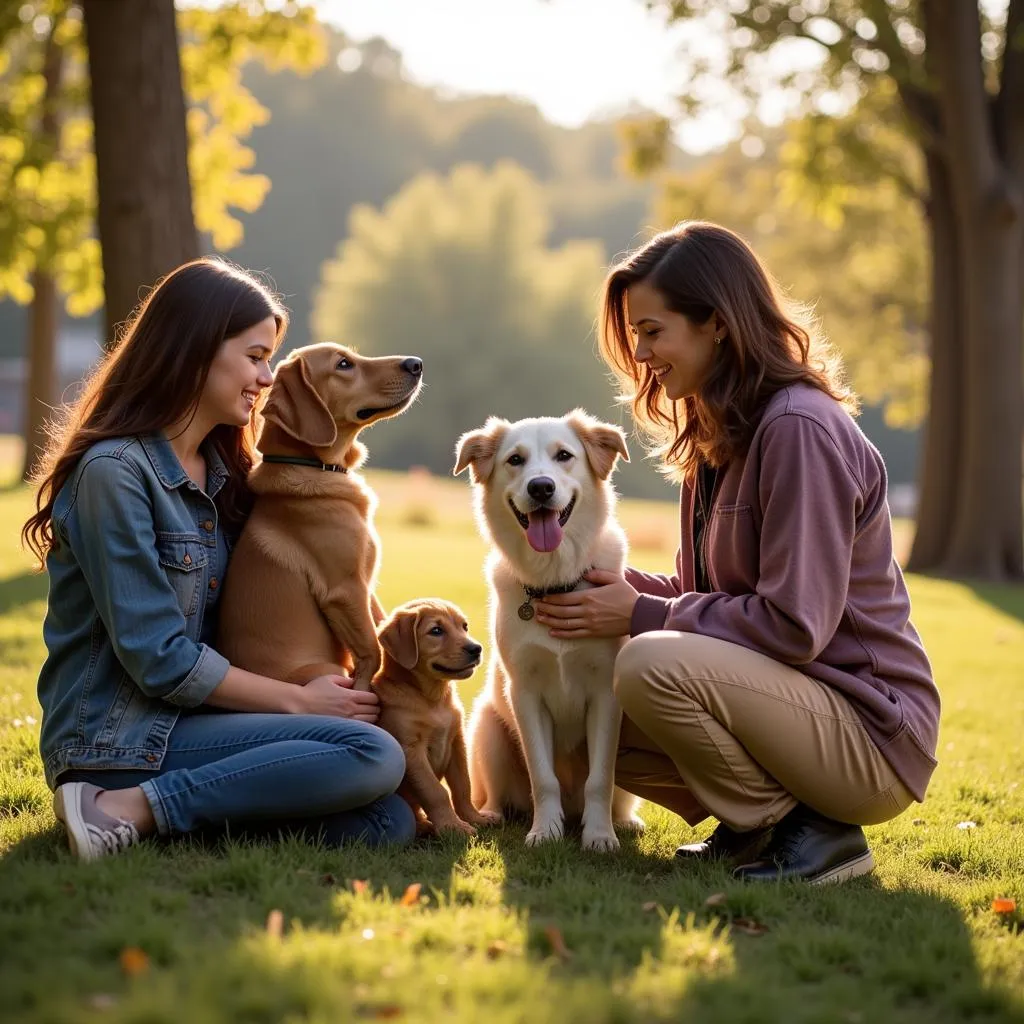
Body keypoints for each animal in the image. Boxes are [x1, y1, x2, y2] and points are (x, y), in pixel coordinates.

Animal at [218, 342, 421, 688]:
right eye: (343, 364)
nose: (416, 363)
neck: (319, 467)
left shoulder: (365, 586)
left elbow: (381, 625)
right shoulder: (345, 589)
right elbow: (372, 651)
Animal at [376, 598, 503, 831]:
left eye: (464, 626)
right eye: (436, 630)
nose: (476, 648)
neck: (433, 700)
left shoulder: (456, 742)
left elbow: (463, 786)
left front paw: (474, 817)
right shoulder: (411, 750)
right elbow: (436, 792)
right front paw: (453, 826)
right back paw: (424, 826)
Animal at [454, 407, 643, 847]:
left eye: (564, 456)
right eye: (515, 460)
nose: (541, 487)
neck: (555, 581)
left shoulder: (605, 695)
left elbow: (599, 780)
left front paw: (600, 835)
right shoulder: (525, 694)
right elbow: (544, 777)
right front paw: (545, 831)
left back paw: (622, 821)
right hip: (486, 727)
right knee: (496, 794)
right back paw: (494, 814)